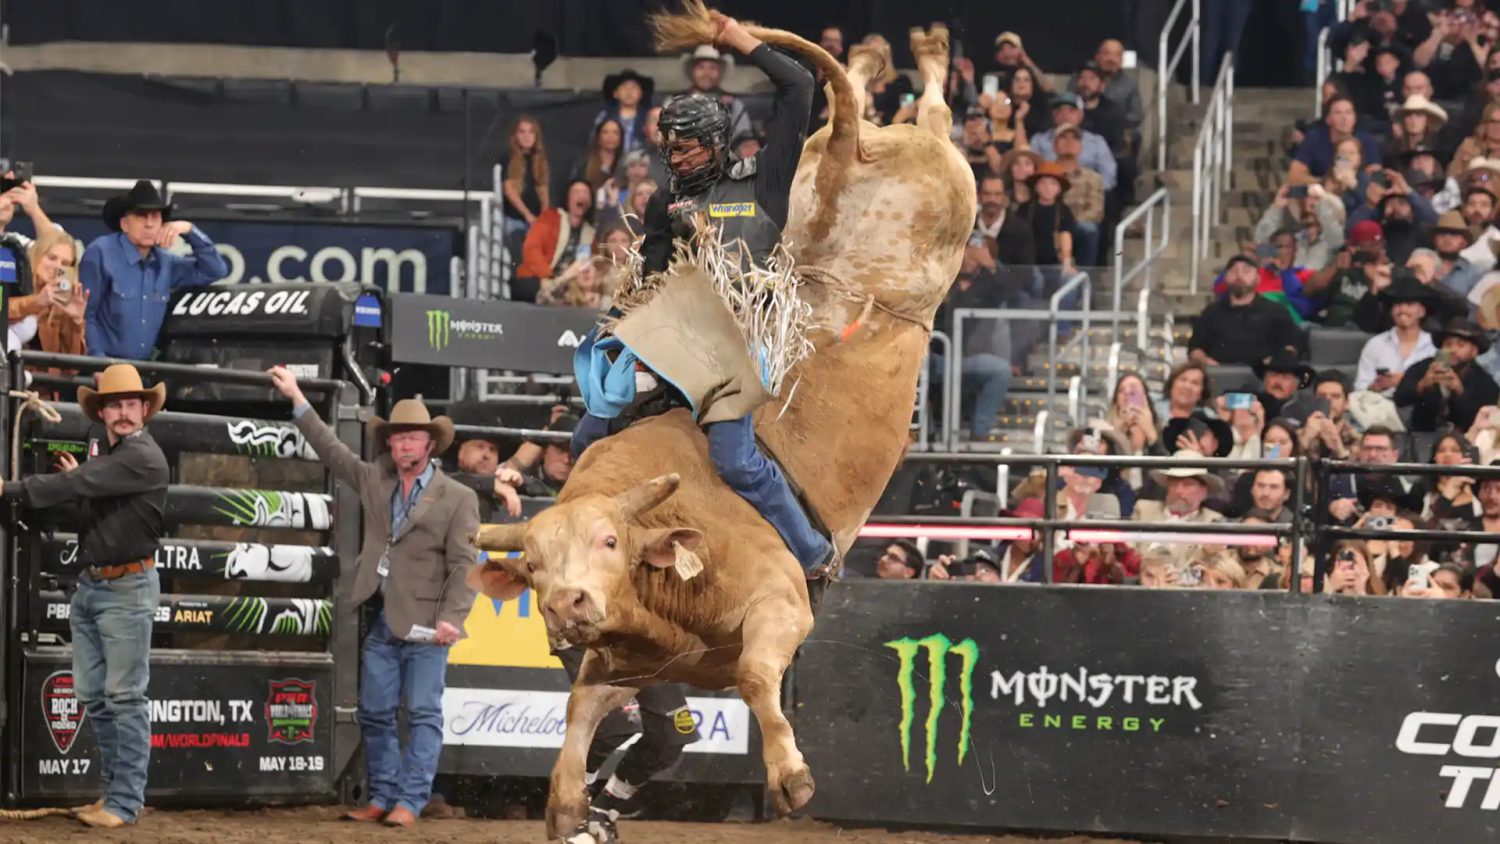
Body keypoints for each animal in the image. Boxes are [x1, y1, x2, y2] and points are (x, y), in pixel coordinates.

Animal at [471, 4, 984, 839]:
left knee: (914, 112)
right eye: (534, 565)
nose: (568, 607)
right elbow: (579, 715)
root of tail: (850, 156)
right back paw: (884, 54)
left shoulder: (780, 608)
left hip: (946, 195)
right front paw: (572, 806)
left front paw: (792, 779)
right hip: (859, 169)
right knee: (863, 102)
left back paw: (921, 51)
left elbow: (751, 675)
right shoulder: (626, 662)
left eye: (609, 541)